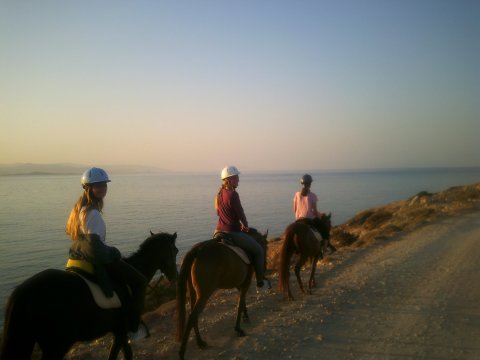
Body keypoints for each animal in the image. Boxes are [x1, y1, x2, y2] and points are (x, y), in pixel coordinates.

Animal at [0, 231, 179, 360]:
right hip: (56, 347)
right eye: (176, 251)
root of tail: (23, 292)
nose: (175, 277)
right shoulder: (121, 332)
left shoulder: (118, 332)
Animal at [176, 228, 268, 360]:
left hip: (194, 293)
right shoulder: (245, 282)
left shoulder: (239, 283)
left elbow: (242, 301)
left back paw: (200, 342)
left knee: (193, 316)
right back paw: (183, 352)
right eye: (267, 245)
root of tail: (197, 250)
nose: (265, 266)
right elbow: (240, 303)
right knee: (193, 316)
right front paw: (238, 329)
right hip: (204, 294)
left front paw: (245, 317)